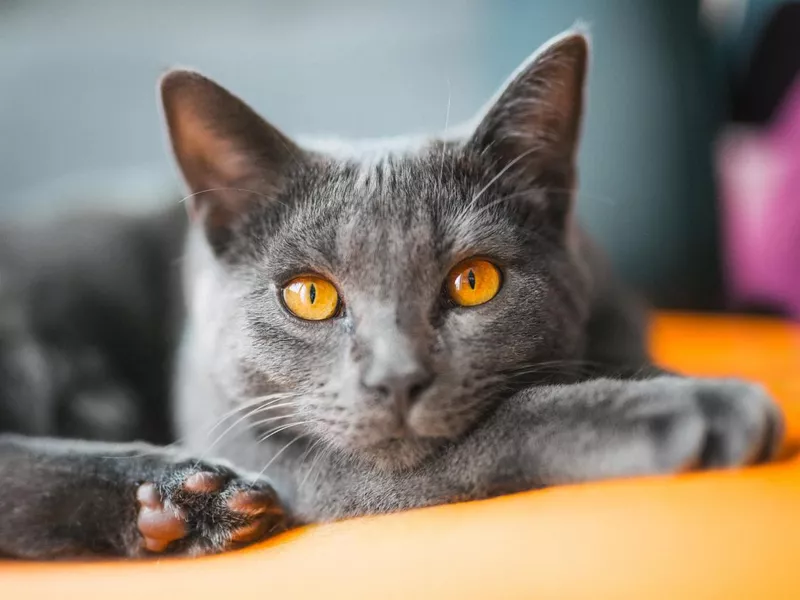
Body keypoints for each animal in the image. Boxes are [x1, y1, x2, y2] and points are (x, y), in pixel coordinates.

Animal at [0, 30, 780, 560]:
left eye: (474, 281)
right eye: (308, 295)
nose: (396, 376)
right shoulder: (264, 440)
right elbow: (514, 419)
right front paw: (695, 403)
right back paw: (185, 497)